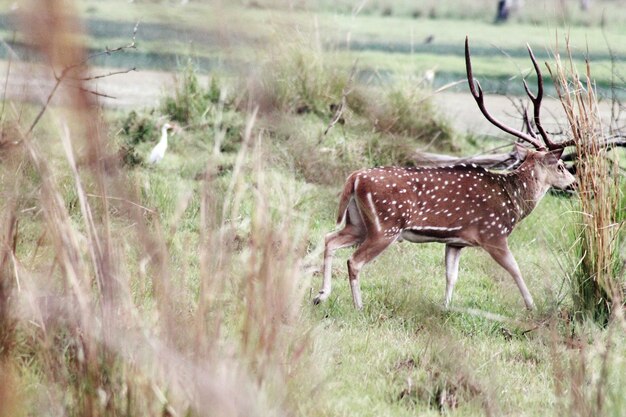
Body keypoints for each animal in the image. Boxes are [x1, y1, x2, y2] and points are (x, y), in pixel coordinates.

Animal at [312, 36, 576, 308]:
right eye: (560, 166)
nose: (574, 183)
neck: (513, 201)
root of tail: (354, 178)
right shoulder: (493, 234)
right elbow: (515, 269)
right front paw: (532, 306)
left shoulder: (455, 241)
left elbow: (451, 275)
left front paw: (445, 307)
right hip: (386, 226)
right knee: (354, 260)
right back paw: (358, 306)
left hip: (358, 223)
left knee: (329, 238)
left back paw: (320, 295)